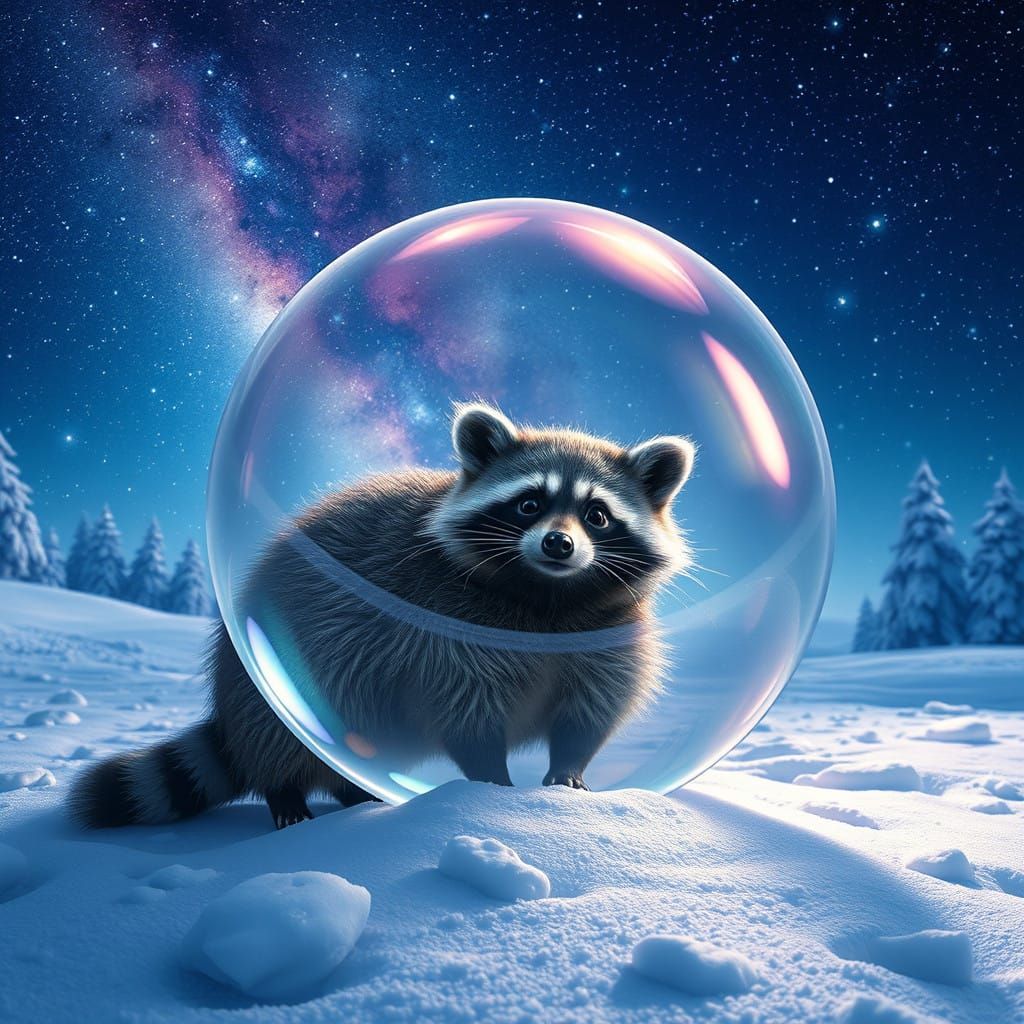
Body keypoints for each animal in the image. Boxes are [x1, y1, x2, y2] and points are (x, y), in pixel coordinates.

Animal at [69, 403, 695, 830]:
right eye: (528, 504)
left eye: (597, 515)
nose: (559, 544)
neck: (547, 596)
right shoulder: (441, 628)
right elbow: (464, 712)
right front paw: (492, 784)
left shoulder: (610, 636)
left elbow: (589, 713)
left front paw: (567, 774)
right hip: (279, 680)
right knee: (286, 737)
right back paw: (288, 795)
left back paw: (356, 792)